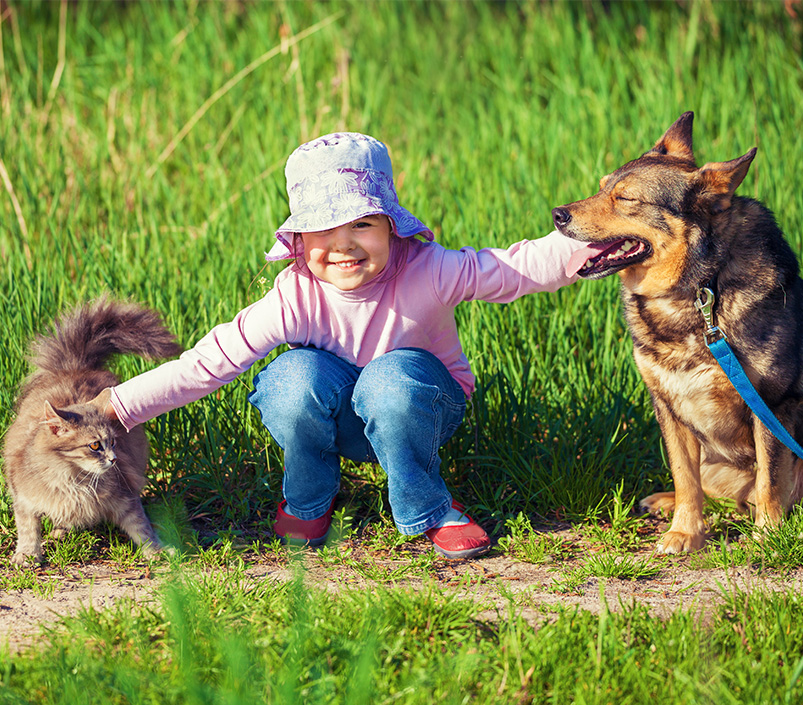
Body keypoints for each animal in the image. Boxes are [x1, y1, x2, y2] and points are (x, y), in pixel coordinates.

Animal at [3, 296, 182, 560]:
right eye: (95, 445)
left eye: (113, 442)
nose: (114, 459)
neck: (72, 480)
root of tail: (74, 365)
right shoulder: (24, 499)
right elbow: (27, 529)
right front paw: (27, 555)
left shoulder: (126, 497)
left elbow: (142, 528)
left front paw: (156, 552)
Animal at [552, 111, 803, 552]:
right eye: (601, 187)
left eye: (626, 198)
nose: (557, 214)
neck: (700, 288)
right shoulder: (669, 407)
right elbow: (685, 477)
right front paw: (685, 531)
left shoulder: (773, 406)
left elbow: (771, 479)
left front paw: (768, 535)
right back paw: (665, 502)